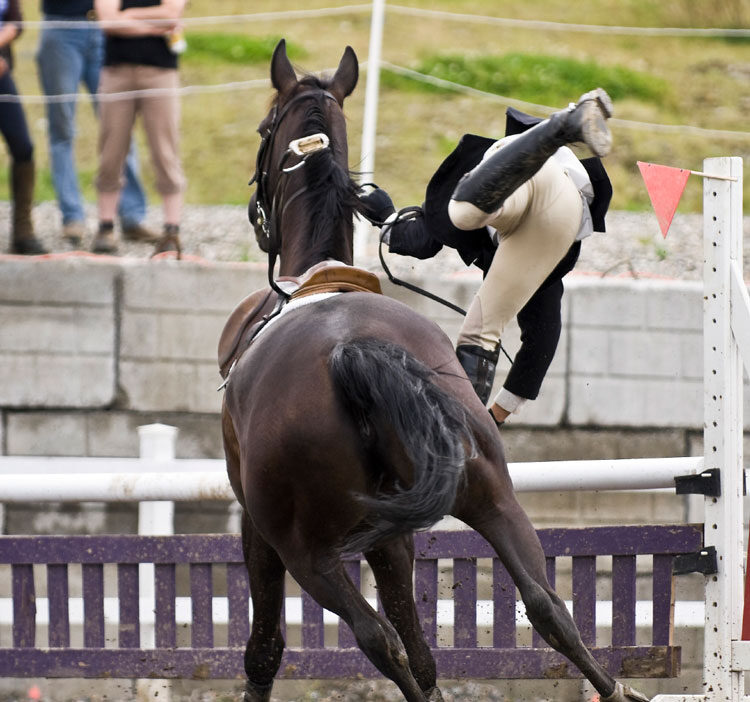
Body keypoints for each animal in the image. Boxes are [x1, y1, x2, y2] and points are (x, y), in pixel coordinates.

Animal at [219, 39, 650, 702]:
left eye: (266, 128)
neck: (316, 277)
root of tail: (353, 352)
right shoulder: (391, 531)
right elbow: (423, 641)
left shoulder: (261, 528)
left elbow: (267, 646)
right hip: (490, 492)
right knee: (546, 604)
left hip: (307, 552)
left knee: (378, 640)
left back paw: (570, 125)